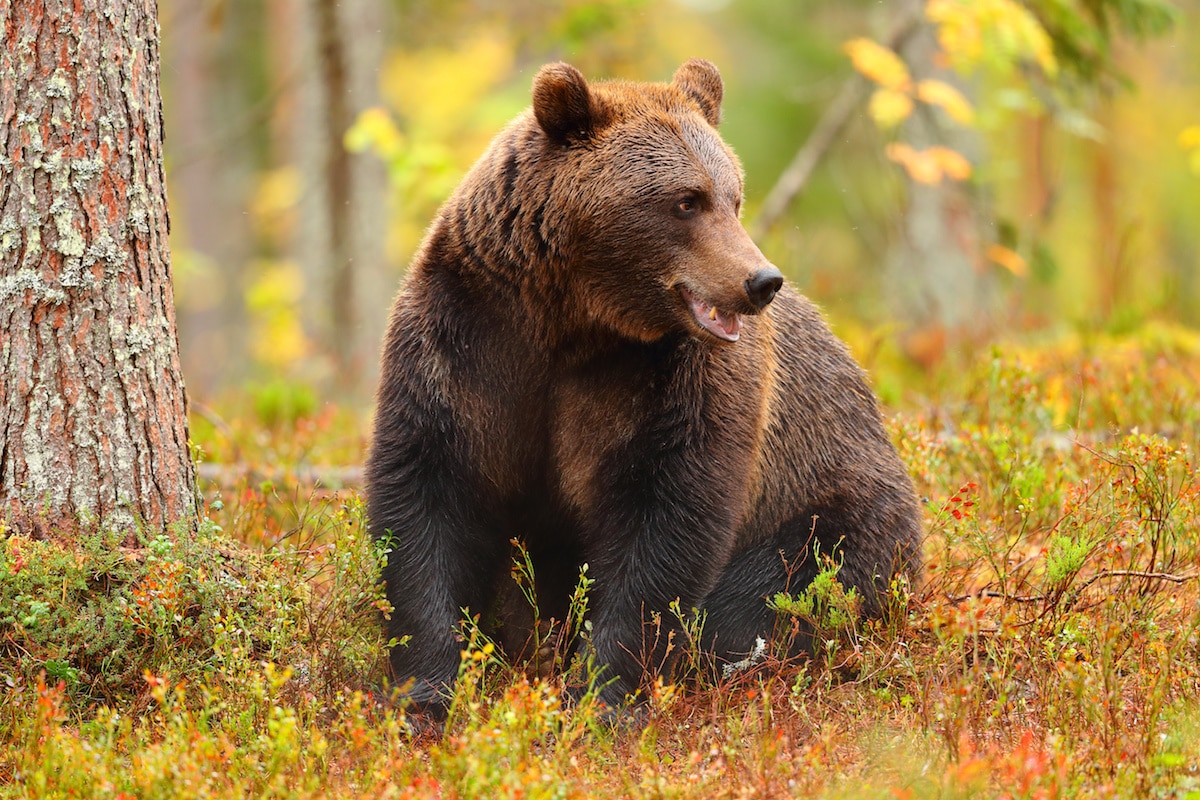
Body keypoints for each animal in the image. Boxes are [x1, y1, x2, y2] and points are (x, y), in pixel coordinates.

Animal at [362, 59, 916, 714]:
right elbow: (430, 493)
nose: (761, 280)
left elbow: (664, 521)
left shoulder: (674, 383)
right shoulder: (468, 342)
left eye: (734, 196)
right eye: (687, 200)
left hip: (831, 505)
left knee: (771, 593)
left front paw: (601, 692)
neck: (572, 321)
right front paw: (426, 688)